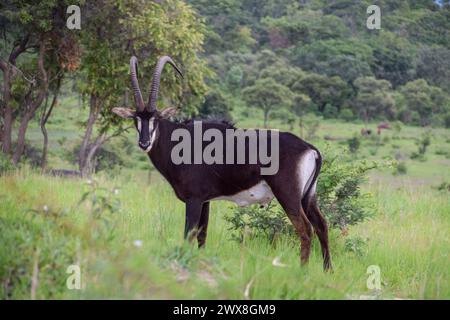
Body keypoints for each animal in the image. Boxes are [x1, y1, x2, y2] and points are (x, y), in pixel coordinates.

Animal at [112, 55, 330, 270]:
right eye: (135, 119)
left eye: (155, 118)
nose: (144, 143)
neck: (178, 141)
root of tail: (310, 149)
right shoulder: (205, 201)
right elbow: (202, 235)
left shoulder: (194, 199)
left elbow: (189, 235)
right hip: (308, 196)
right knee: (321, 224)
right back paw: (327, 270)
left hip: (288, 196)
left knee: (305, 229)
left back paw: (302, 270)